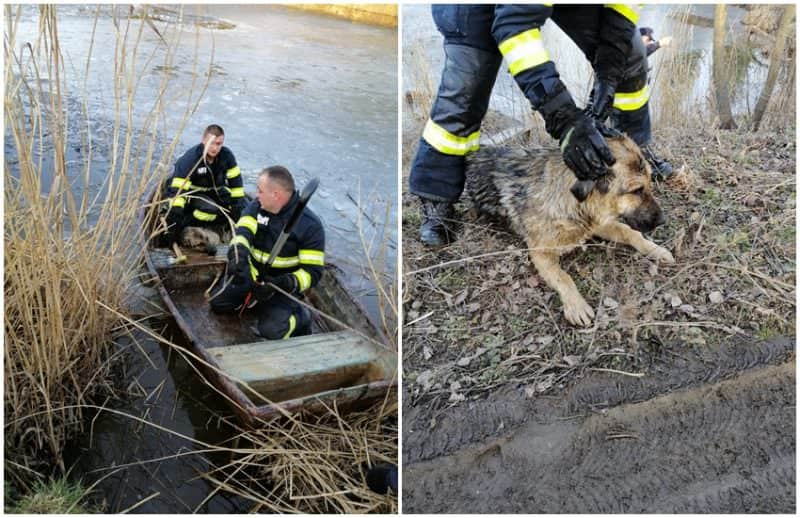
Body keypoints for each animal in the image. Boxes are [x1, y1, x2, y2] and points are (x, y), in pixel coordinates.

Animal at [462, 136, 676, 328]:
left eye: (649, 183)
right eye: (637, 190)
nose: (663, 220)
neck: (571, 201)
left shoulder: (597, 224)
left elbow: (630, 232)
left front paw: (656, 249)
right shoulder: (540, 253)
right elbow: (563, 277)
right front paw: (576, 305)